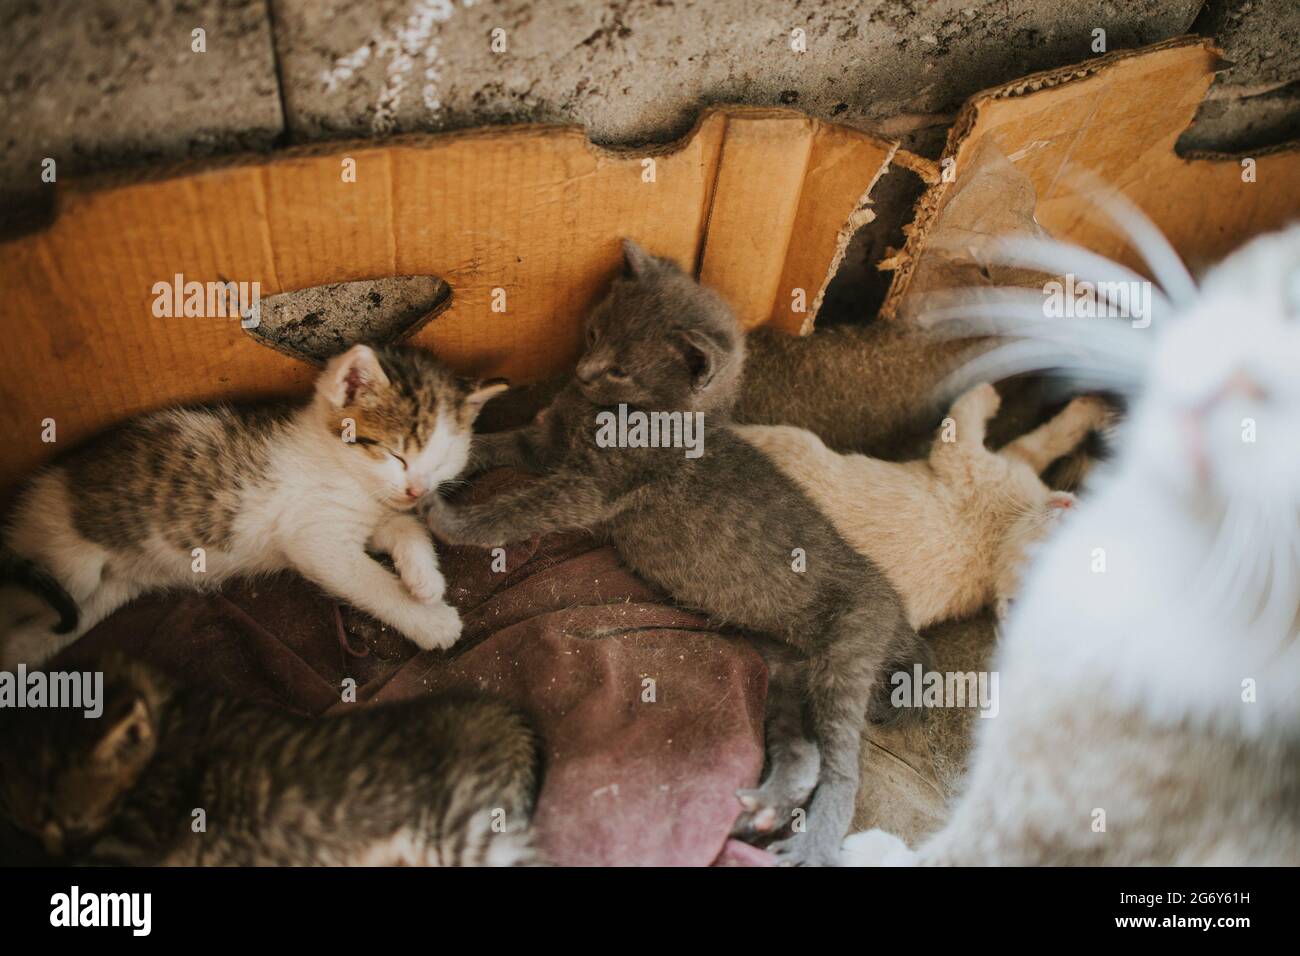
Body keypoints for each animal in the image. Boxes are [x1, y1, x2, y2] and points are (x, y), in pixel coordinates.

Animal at [0, 345, 506, 671]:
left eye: (443, 459)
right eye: (396, 454)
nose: (417, 491)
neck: (352, 476)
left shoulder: (373, 516)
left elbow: (404, 529)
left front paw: (426, 582)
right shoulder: (315, 539)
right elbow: (370, 582)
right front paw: (431, 620)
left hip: (100, 594)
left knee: (38, 633)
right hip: (68, 563)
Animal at [0, 658, 538, 868]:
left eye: (71, 826)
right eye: (24, 828)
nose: (51, 852)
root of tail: (509, 717)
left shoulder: (136, 836)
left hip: (465, 826)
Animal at [421, 240, 920, 868]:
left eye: (621, 368)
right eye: (593, 334)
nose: (580, 373)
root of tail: (896, 605)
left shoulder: (586, 490)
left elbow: (514, 512)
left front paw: (449, 519)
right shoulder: (542, 445)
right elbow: (491, 446)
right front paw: (440, 463)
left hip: (847, 653)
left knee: (843, 767)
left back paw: (816, 840)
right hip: (781, 669)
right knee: (802, 751)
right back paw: (763, 809)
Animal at [738, 385, 1112, 632]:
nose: (1068, 504)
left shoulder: (963, 458)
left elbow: (971, 414)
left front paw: (988, 393)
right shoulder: (1005, 462)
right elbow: (1046, 440)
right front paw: (1092, 409)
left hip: (790, 441)